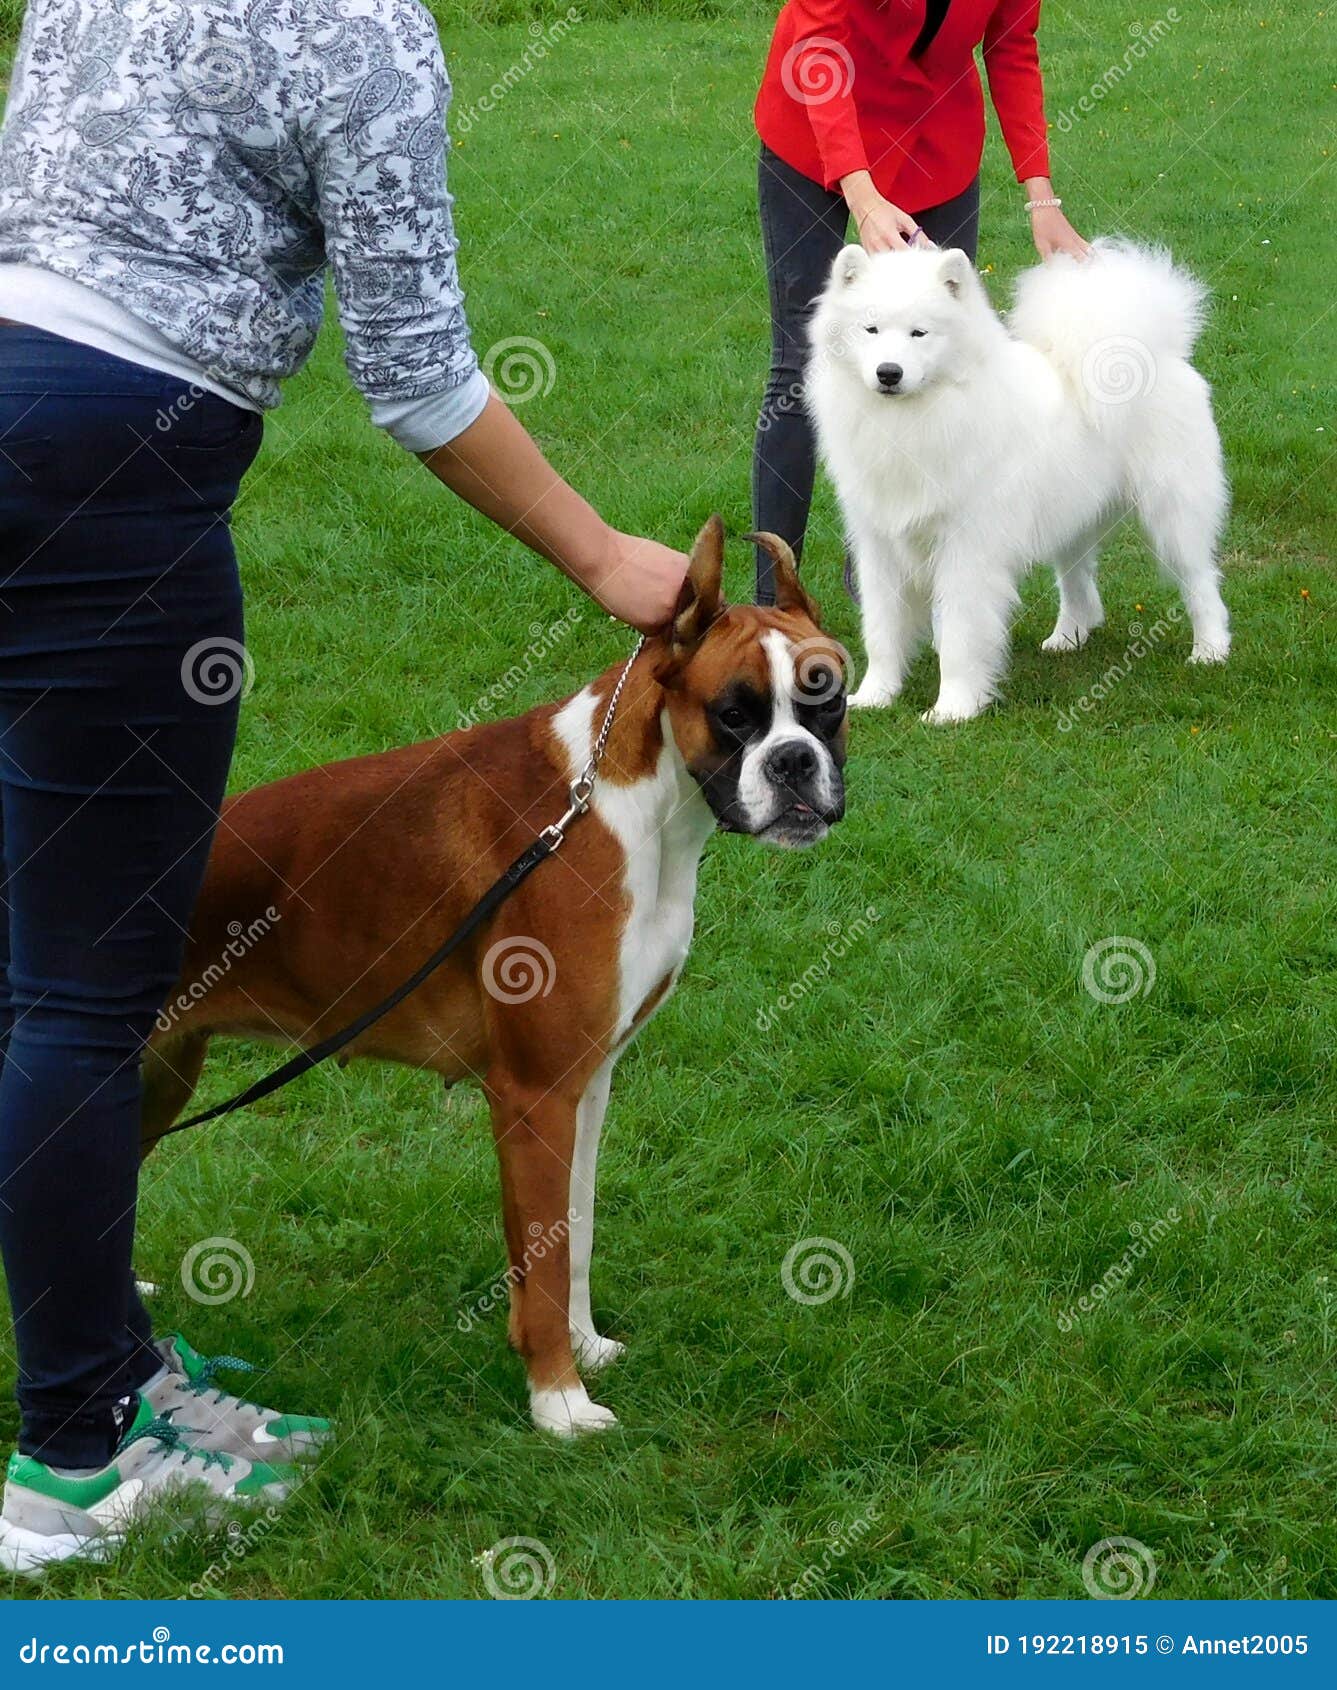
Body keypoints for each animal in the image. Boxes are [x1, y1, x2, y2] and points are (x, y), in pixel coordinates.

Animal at [143, 523, 848, 1439]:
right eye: (734, 714)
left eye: (828, 700)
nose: (795, 762)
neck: (632, 805)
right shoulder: (532, 1093)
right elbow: (543, 1262)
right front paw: (558, 1402)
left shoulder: (586, 1084)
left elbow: (570, 1236)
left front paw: (582, 1349)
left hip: (161, 1077)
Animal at [804, 239, 1237, 719]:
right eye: (871, 330)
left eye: (919, 333)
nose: (888, 372)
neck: (911, 421)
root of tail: (1159, 351)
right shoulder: (880, 545)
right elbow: (881, 631)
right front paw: (874, 697)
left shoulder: (967, 548)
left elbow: (959, 637)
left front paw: (952, 709)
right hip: (1072, 515)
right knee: (1078, 583)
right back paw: (1068, 638)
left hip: (1172, 513)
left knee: (1200, 581)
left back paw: (1210, 651)